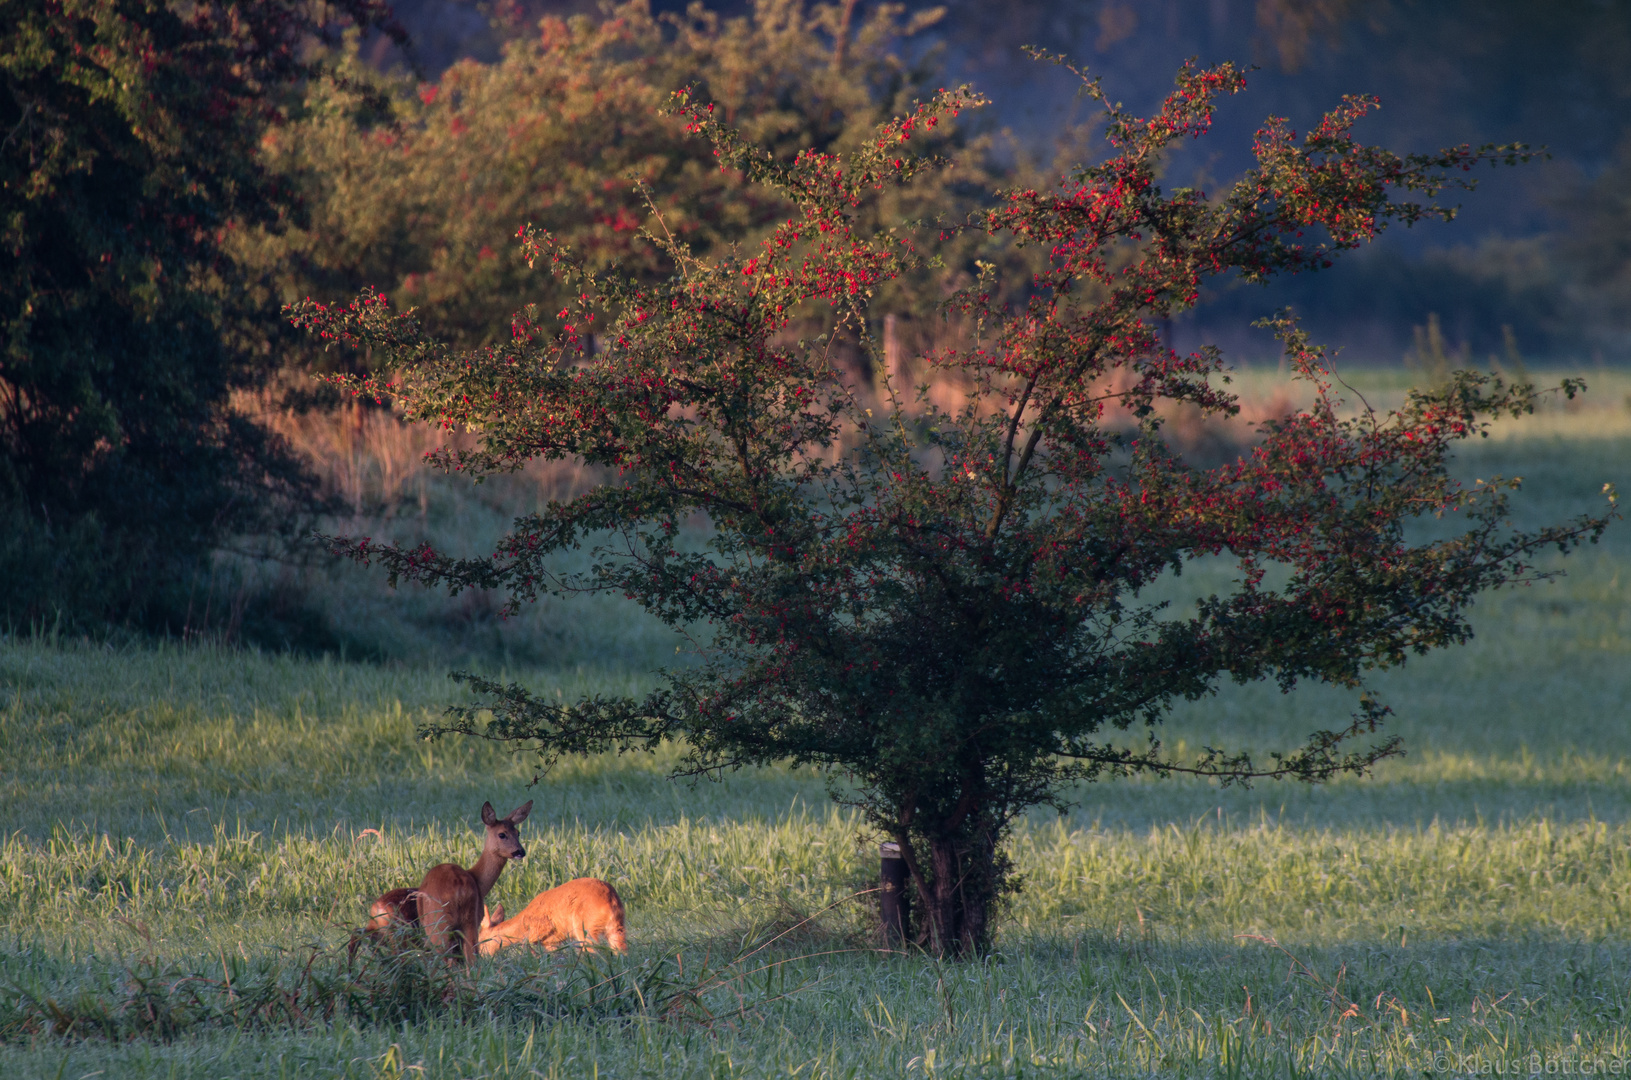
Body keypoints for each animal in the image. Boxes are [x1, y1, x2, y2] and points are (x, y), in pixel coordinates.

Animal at [479, 880, 626, 959]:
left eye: (479, 941)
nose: (480, 957)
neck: (523, 924)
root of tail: (611, 899)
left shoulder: (541, 933)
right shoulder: (551, 941)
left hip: (585, 927)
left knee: (595, 953)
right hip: (617, 927)